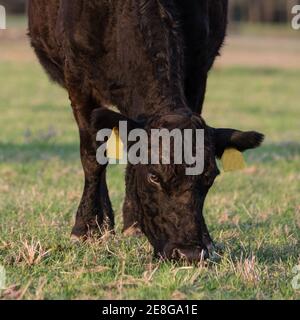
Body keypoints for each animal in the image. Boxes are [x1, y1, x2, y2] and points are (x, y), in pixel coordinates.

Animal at [28, 0, 262, 262]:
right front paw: (85, 228)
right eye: (154, 177)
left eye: (210, 177)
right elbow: (92, 158)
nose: (188, 252)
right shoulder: (78, 81)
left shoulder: (198, 72)